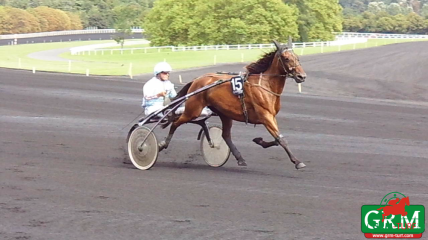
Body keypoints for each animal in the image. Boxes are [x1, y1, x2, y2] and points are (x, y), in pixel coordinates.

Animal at [160, 39, 304, 169]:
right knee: (175, 123)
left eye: (297, 57)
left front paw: (259, 140)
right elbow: (281, 139)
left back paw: (240, 158)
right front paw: (297, 162)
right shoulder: (265, 116)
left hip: (225, 113)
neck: (265, 85)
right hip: (193, 110)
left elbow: (277, 138)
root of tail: (197, 80)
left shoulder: (271, 117)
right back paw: (162, 144)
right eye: (286, 58)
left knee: (225, 135)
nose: (302, 76)